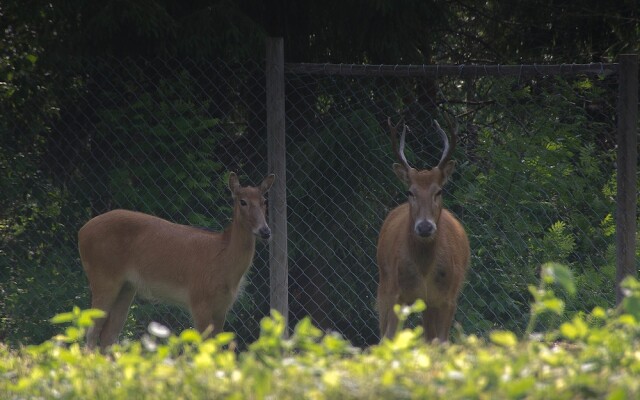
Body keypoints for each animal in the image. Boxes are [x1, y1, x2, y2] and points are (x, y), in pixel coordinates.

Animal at [376, 117, 470, 342]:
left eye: (439, 191)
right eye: (411, 191)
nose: (425, 226)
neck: (425, 268)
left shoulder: (447, 298)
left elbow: (442, 342)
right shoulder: (397, 293)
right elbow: (390, 338)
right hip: (384, 283)